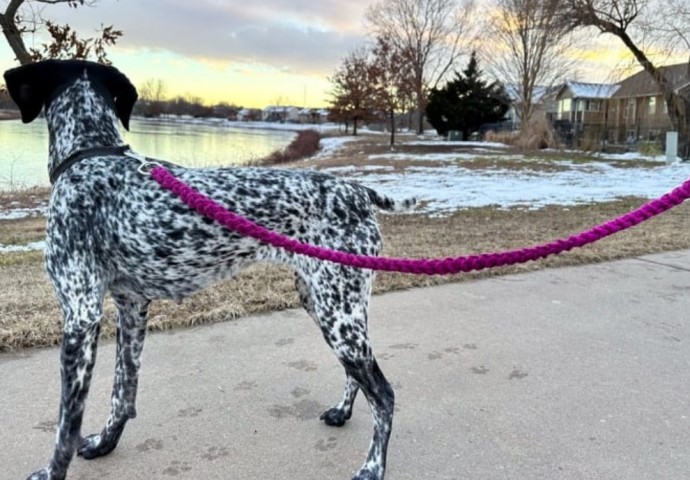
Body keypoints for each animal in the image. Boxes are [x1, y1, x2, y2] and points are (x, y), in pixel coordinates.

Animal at [2, 60, 414, 480]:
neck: (90, 155)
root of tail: (357, 190)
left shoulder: (80, 315)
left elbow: (67, 422)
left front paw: (52, 472)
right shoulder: (131, 307)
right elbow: (123, 390)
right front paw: (106, 442)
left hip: (338, 313)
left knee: (384, 395)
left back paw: (372, 468)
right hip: (328, 306)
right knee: (358, 377)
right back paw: (343, 412)